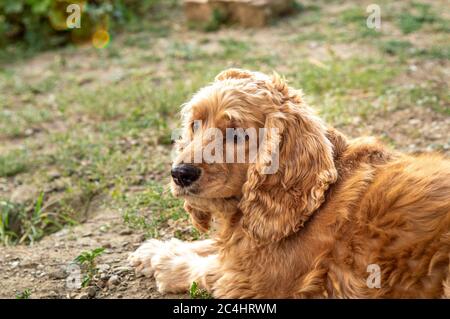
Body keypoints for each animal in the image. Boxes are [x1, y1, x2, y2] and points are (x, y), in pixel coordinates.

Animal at [128, 69, 448, 298]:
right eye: (195, 124)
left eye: (237, 135)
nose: (180, 173)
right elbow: (213, 246)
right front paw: (153, 251)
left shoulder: (253, 280)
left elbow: (209, 268)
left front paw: (167, 263)